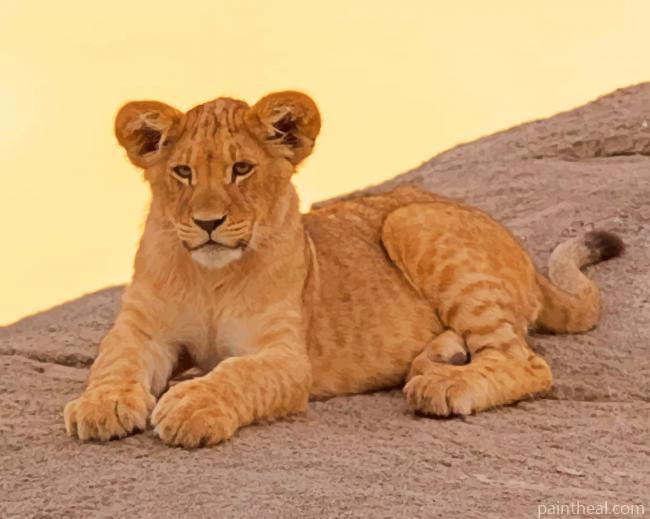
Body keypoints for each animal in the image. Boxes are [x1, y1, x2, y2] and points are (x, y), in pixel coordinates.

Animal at [63, 91, 624, 448]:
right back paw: (440, 357)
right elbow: (114, 362)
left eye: (241, 169)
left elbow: (237, 374)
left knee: (526, 362)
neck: (210, 276)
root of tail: (527, 258)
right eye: (182, 172)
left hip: (410, 219)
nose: (207, 223)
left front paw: (190, 406)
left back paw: (443, 384)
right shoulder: (142, 329)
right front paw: (100, 406)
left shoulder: (286, 357)